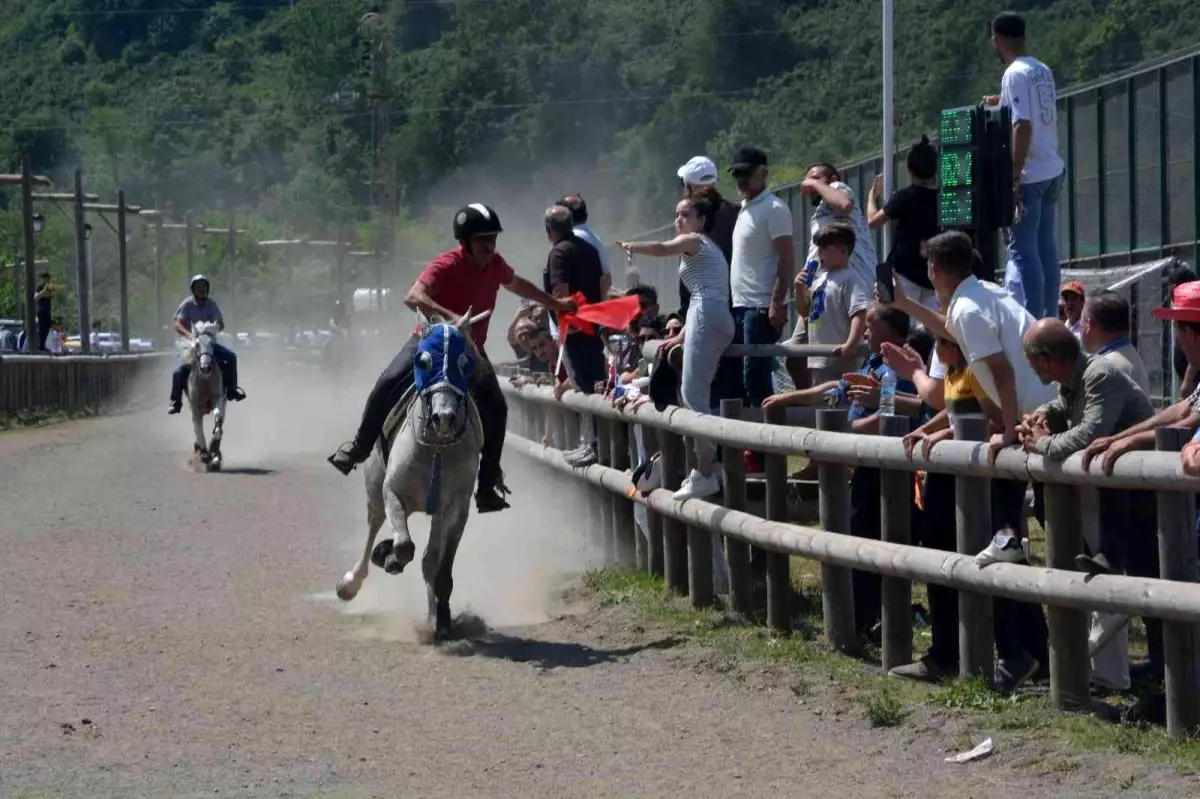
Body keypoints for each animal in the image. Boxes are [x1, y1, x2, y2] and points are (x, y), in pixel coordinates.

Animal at [177, 319, 226, 467]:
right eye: (197, 345)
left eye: (213, 343)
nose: (205, 368)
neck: (205, 380)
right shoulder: (195, 406)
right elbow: (198, 428)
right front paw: (203, 453)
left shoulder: (219, 398)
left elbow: (218, 418)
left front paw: (214, 451)